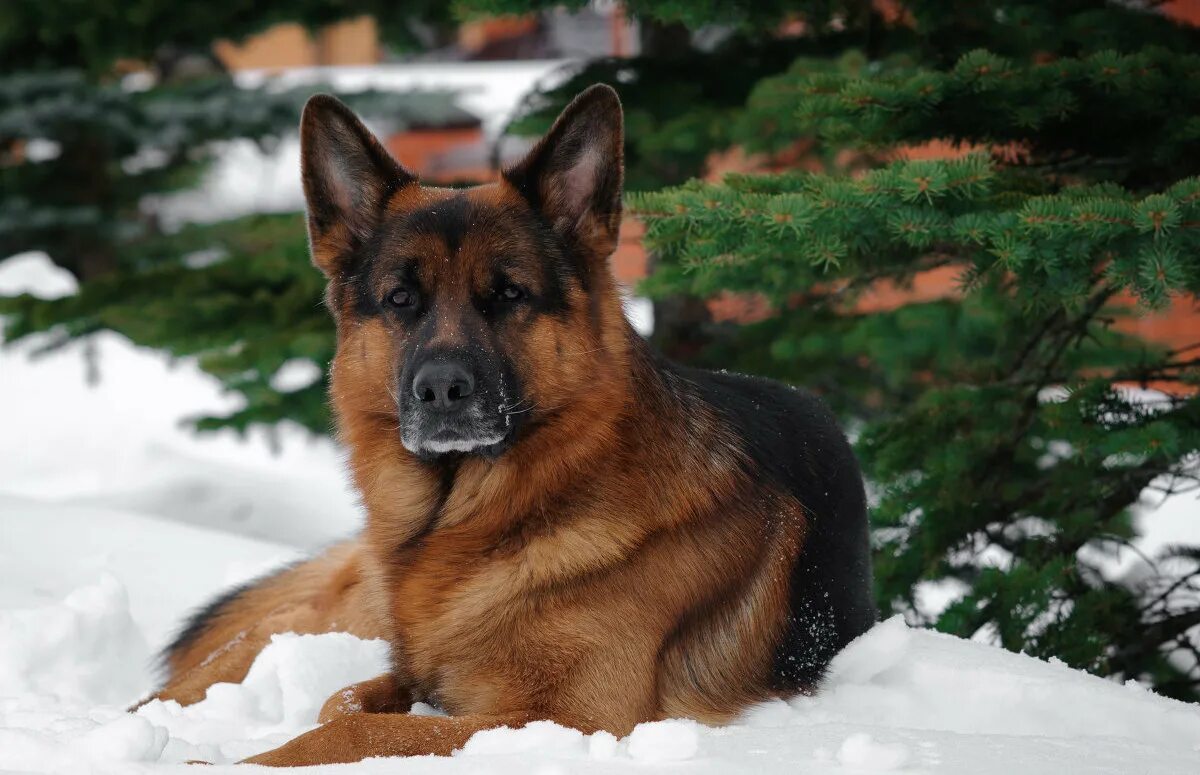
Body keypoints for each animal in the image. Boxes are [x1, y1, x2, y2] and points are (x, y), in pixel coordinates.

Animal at [152, 83, 883, 763]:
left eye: (508, 295)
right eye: (400, 299)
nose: (441, 389)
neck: (485, 519)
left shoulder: (564, 718)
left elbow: (352, 723)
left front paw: (221, 761)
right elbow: (343, 700)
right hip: (346, 610)